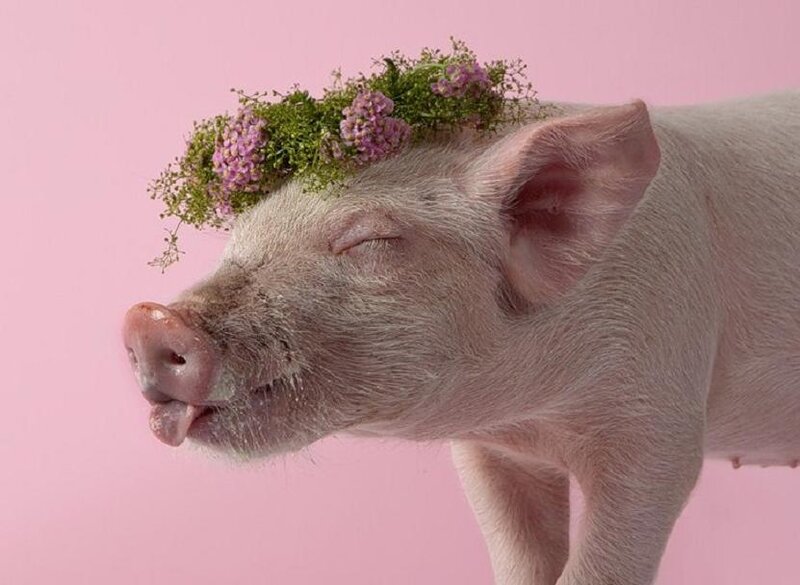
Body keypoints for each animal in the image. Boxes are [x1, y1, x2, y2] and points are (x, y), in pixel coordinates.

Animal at [123, 91, 800, 585]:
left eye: (370, 240)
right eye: (240, 235)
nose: (151, 320)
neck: (541, 416)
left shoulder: (662, 423)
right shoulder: (489, 453)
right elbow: (521, 555)